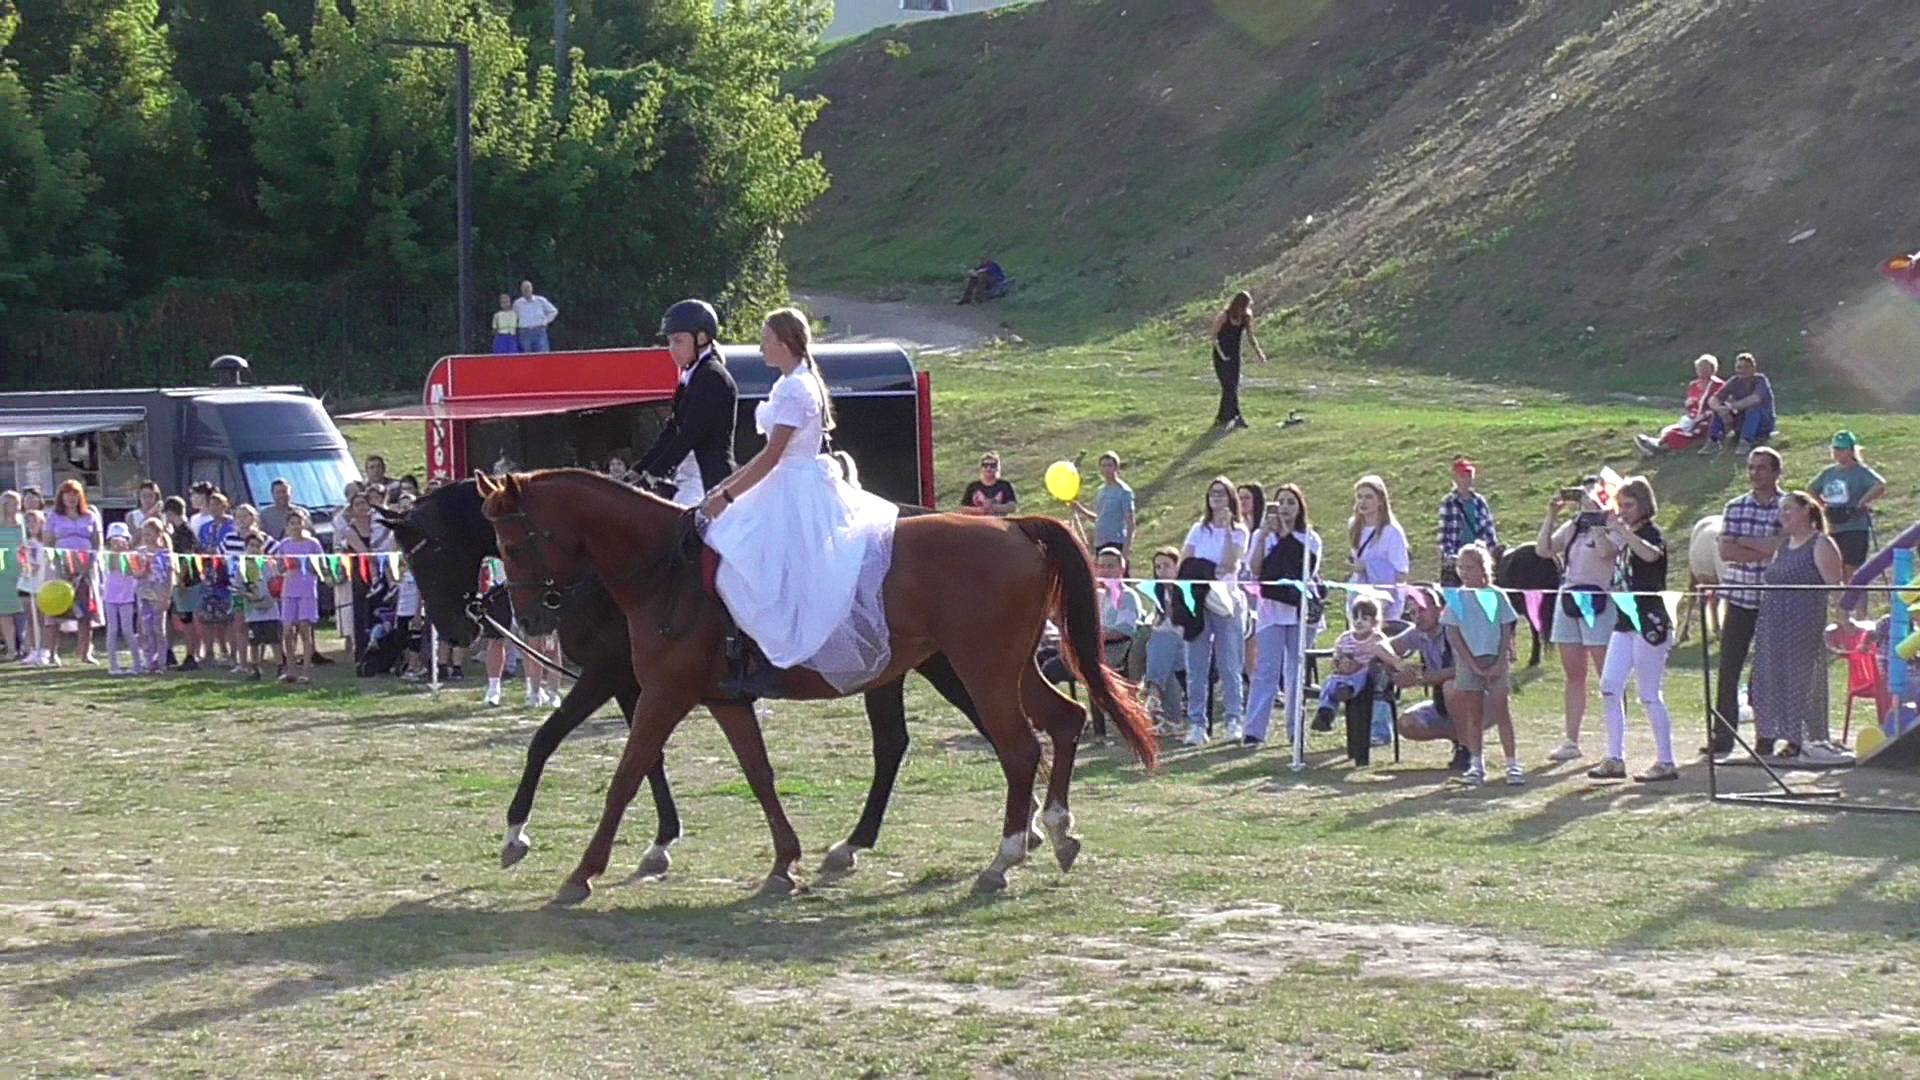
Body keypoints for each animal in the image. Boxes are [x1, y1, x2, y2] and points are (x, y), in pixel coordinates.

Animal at [382, 476, 998, 876]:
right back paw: (858, 842)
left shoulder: (609, 673)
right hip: (902, 667)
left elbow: (551, 741)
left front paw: (518, 832)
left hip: (943, 662)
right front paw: (661, 840)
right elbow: (647, 758)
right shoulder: (637, 681)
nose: (455, 628)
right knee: (898, 741)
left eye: (427, 553)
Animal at [476, 470, 1152, 899]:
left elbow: (623, 774)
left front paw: (578, 870)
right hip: (998, 668)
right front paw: (783, 862)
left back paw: (1006, 855)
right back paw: (1054, 829)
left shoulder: (659, 691)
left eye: (513, 543)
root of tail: (1013, 528)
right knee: (1061, 721)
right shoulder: (718, 698)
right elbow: (757, 774)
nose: (527, 618)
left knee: (1016, 748)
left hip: (978, 668)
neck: (663, 570)